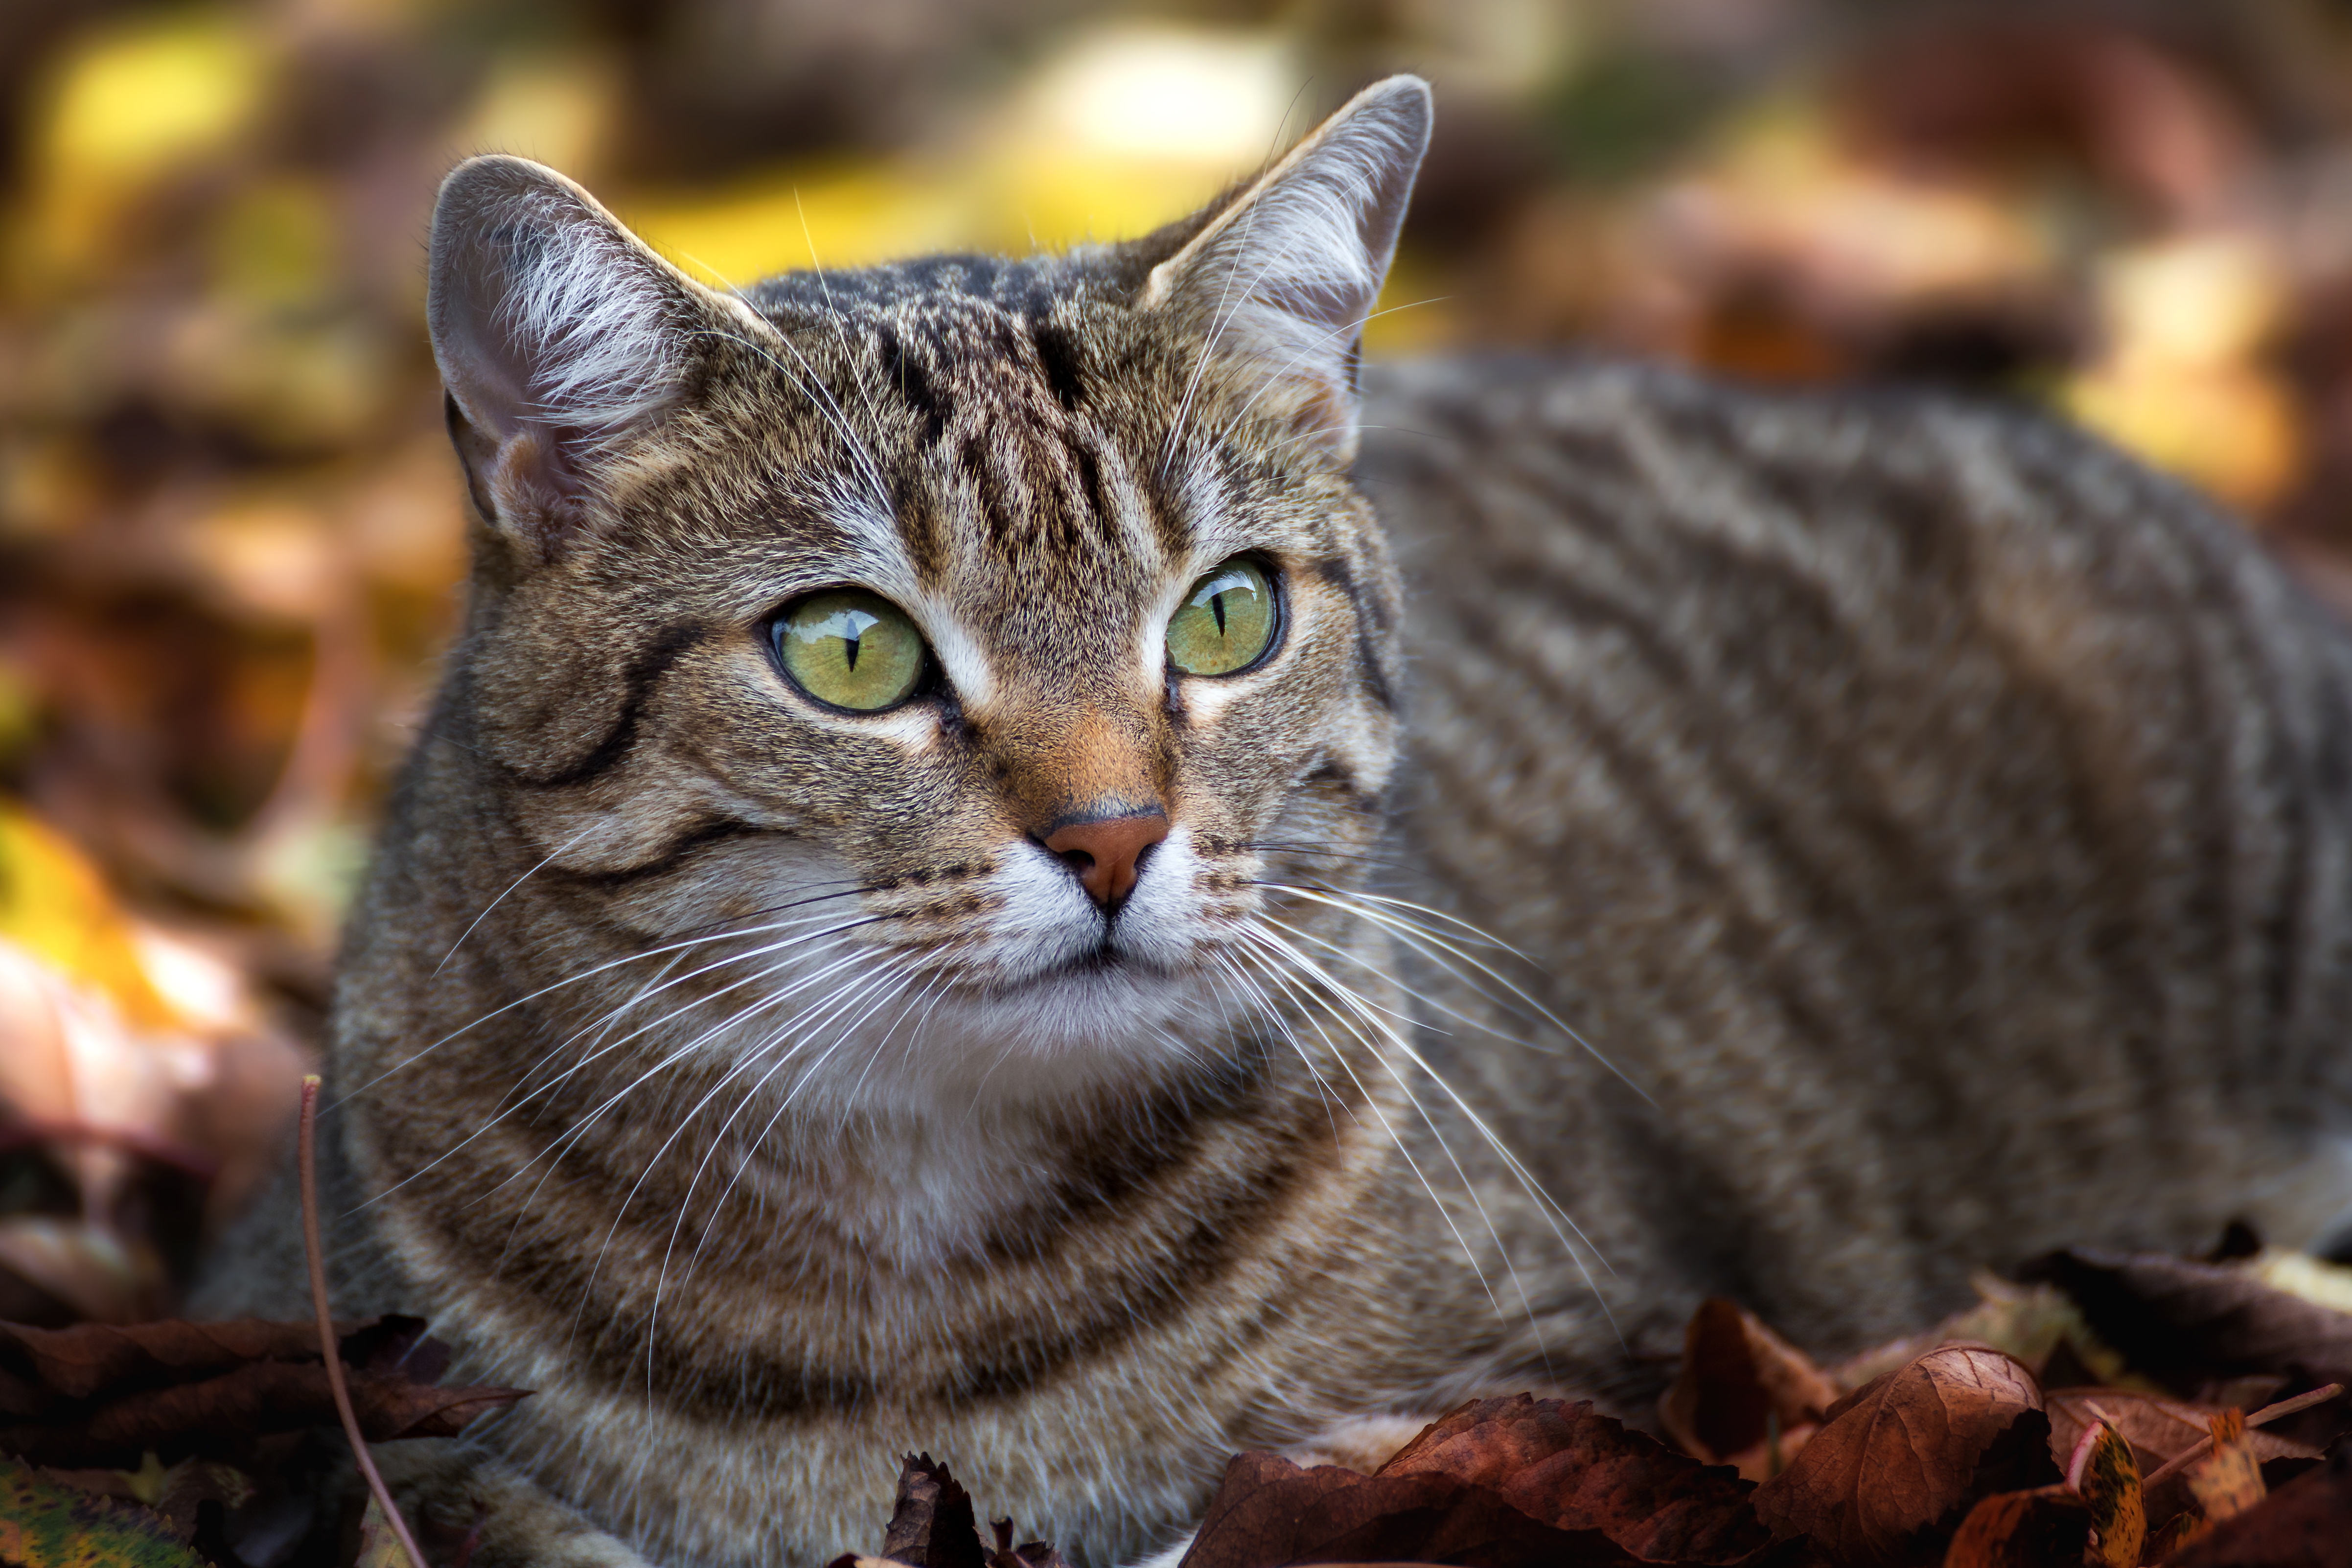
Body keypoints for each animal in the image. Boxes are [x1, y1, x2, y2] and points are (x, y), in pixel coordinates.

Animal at [188, 76, 2352, 1568]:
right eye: (850, 651)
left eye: (1224, 615)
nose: (1112, 834)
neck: (909, 1270)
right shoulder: (322, 1397)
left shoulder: (1573, 1397)